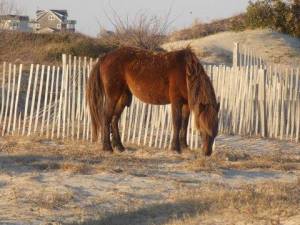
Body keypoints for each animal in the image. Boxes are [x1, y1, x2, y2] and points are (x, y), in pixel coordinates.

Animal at [85, 46, 219, 156]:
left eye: (215, 132)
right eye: (202, 131)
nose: (207, 153)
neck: (186, 71)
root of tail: (105, 57)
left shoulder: (186, 103)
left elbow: (184, 123)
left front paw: (185, 146)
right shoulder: (176, 101)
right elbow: (177, 122)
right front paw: (175, 148)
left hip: (123, 97)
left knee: (114, 119)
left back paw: (119, 146)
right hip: (113, 96)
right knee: (106, 117)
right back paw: (107, 147)